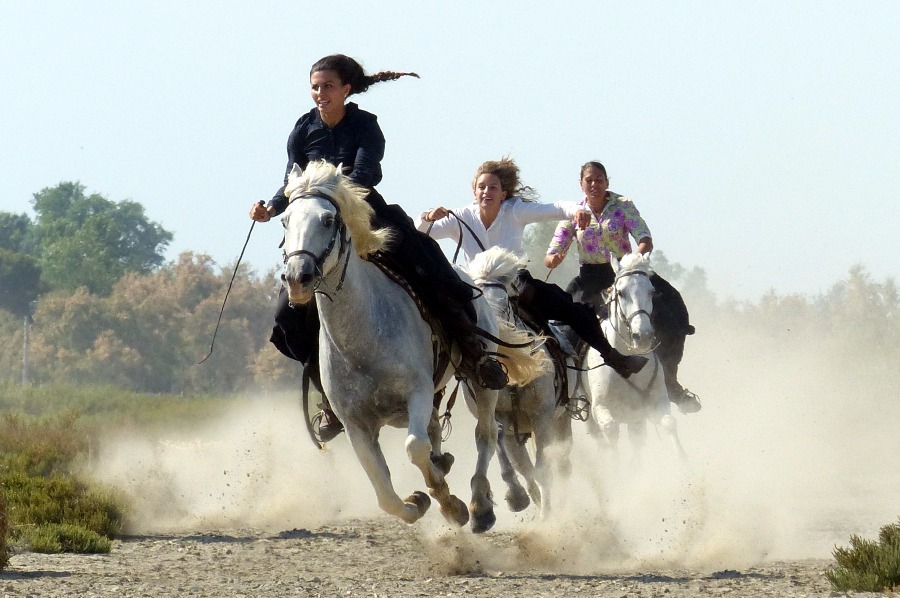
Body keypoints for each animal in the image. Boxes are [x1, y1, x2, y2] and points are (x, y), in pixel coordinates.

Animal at [282, 161, 536, 536]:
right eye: (285, 220)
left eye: (328, 219)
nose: (298, 277)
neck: (362, 339)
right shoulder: (356, 425)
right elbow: (384, 493)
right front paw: (420, 502)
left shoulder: (417, 392)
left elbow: (415, 448)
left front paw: (451, 504)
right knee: (438, 433)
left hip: (481, 385)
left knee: (486, 435)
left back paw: (481, 506)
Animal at [468, 248, 572, 520]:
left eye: (505, 302)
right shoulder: (498, 414)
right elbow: (516, 460)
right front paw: (517, 496)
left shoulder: (542, 415)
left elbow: (544, 467)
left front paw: (547, 516)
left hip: (561, 419)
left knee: (562, 463)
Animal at [580, 253, 684, 464]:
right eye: (621, 293)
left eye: (652, 292)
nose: (642, 335)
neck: (627, 362)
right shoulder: (600, 408)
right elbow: (610, 429)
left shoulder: (656, 404)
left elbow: (669, 423)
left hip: (636, 420)